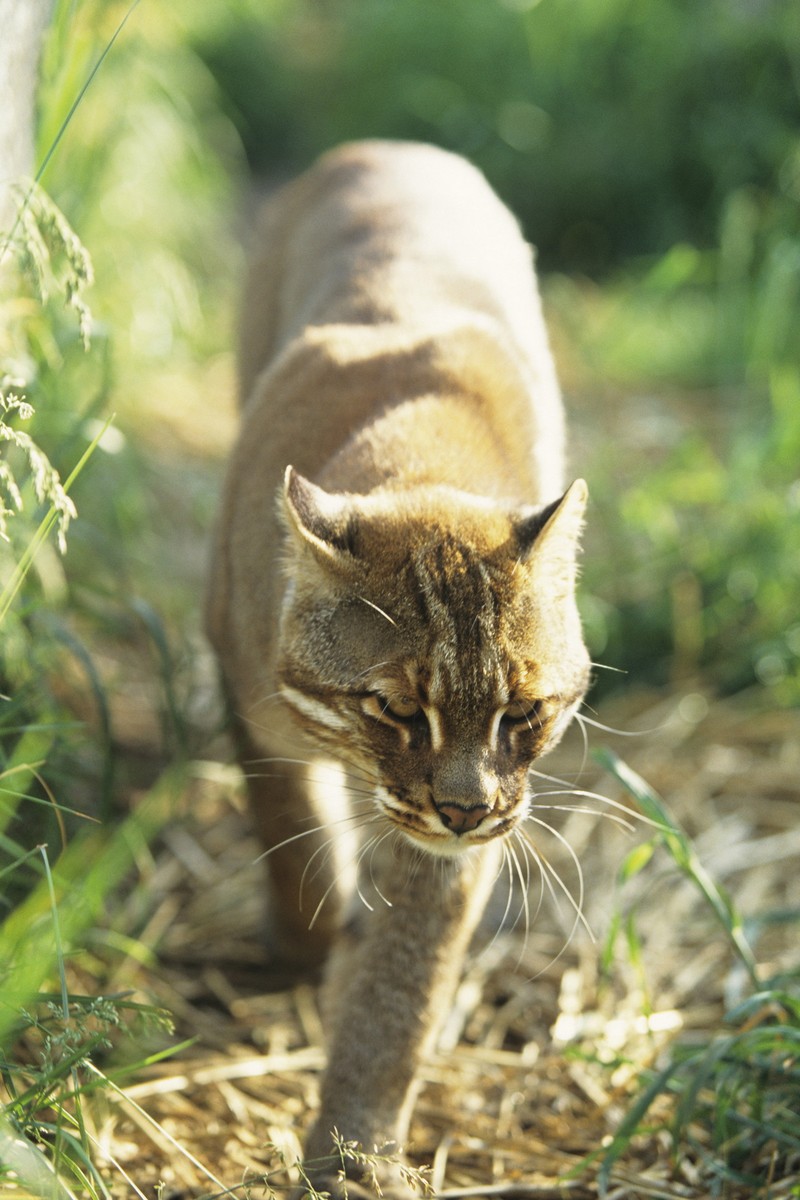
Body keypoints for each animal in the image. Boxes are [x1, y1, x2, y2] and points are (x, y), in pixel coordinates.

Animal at [209, 138, 592, 1190]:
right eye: (394, 710)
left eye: (522, 715)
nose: (463, 809)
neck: (422, 462)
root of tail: (390, 145)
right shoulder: (246, 693)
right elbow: (289, 830)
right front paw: (312, 935)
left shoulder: (473, 827)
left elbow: (407, 982)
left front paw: (354, 1153)